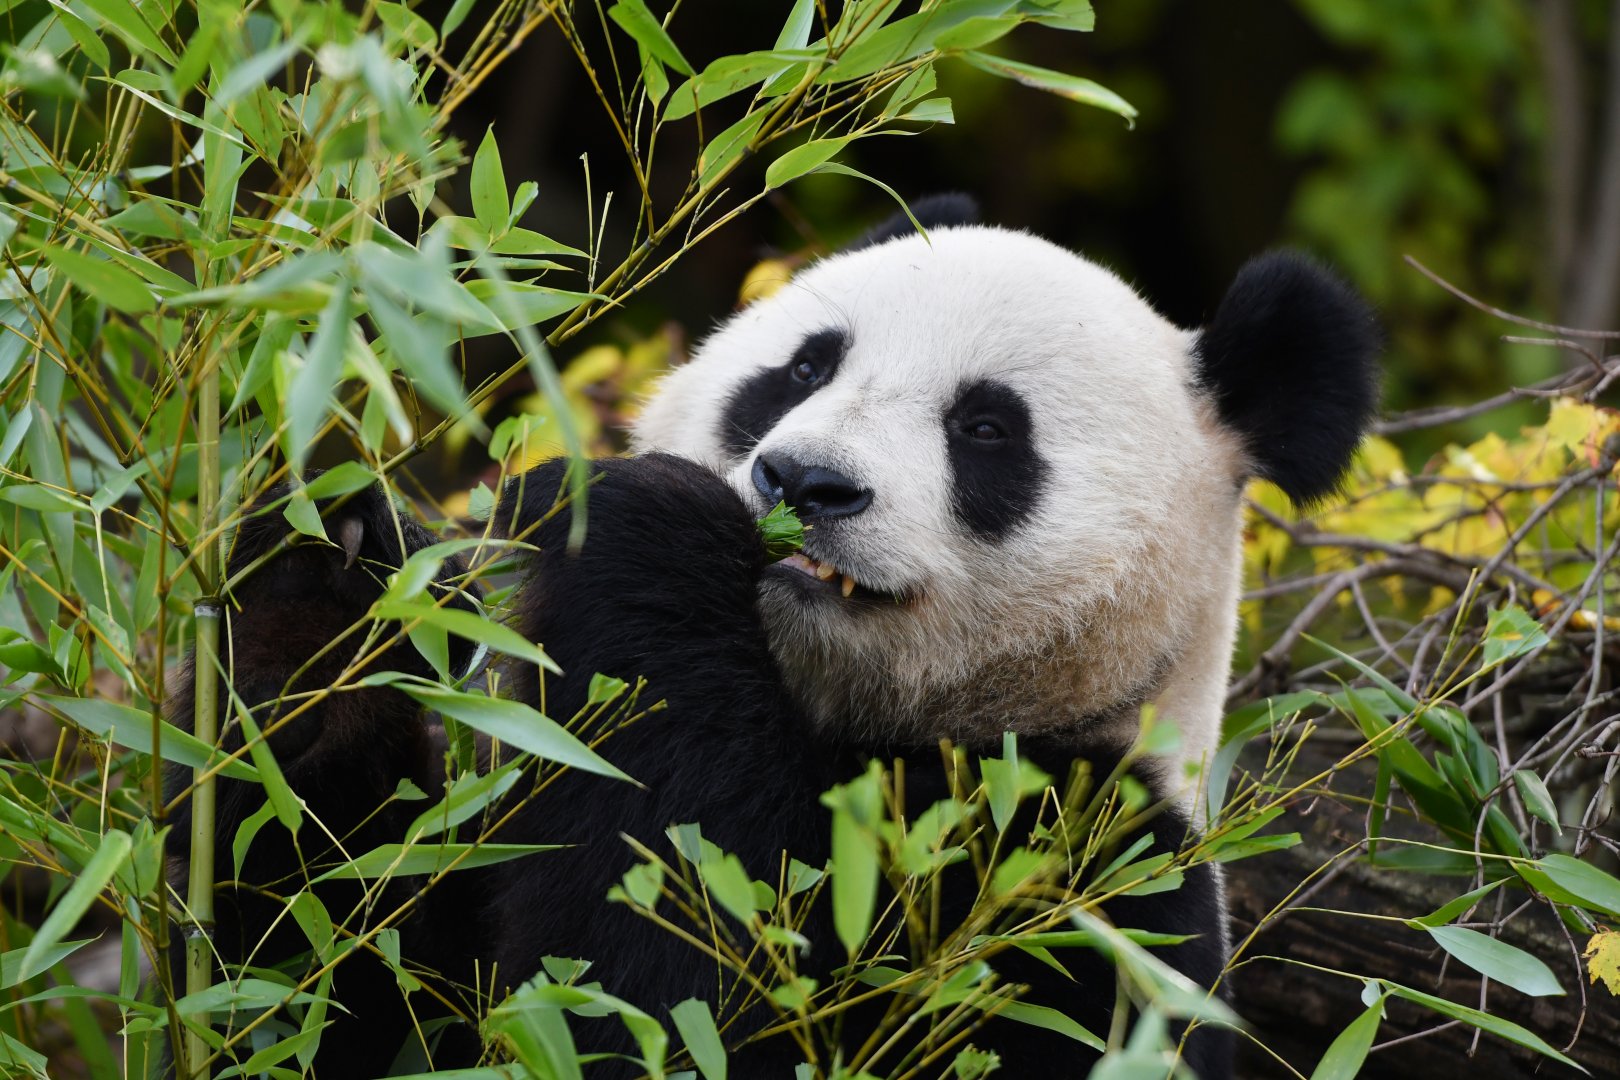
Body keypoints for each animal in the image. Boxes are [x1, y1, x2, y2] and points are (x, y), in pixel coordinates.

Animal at [170, 198, 1378, 1078]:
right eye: (802, 368)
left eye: (987, 429)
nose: (803, 482)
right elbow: (319, 971)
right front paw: (322, 583)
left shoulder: (1081, 887)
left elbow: (665, 986)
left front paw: (644, 528)